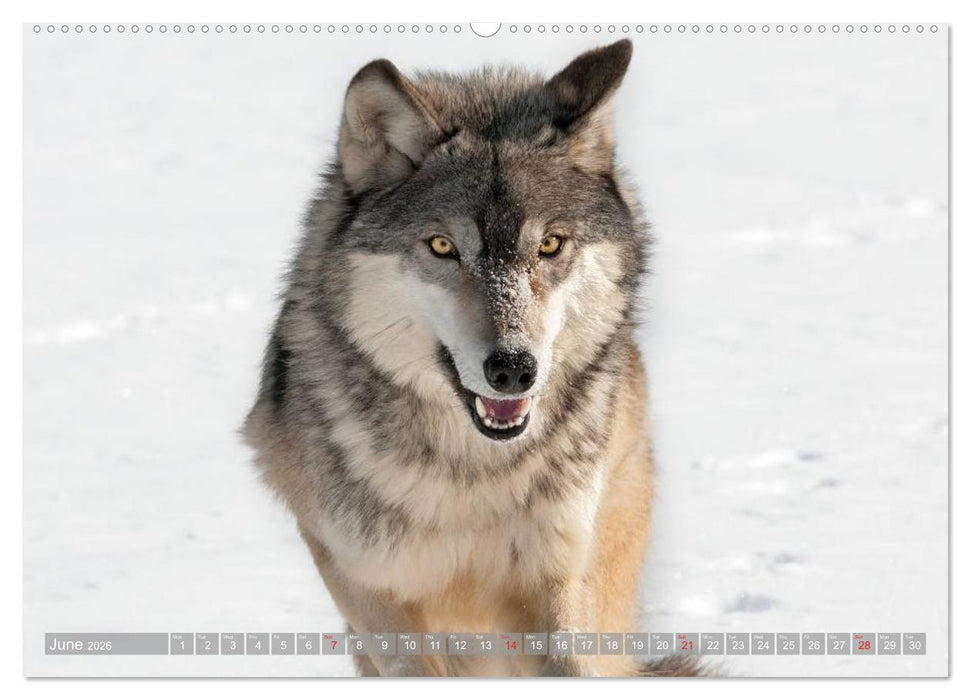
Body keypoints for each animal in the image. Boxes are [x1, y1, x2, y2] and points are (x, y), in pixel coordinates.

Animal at [244, 39, 697, 677]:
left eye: (550, 244)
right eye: (442, 246)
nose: (512, 368)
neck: (472, 477)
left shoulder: (556, 580)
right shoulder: (371, 590)